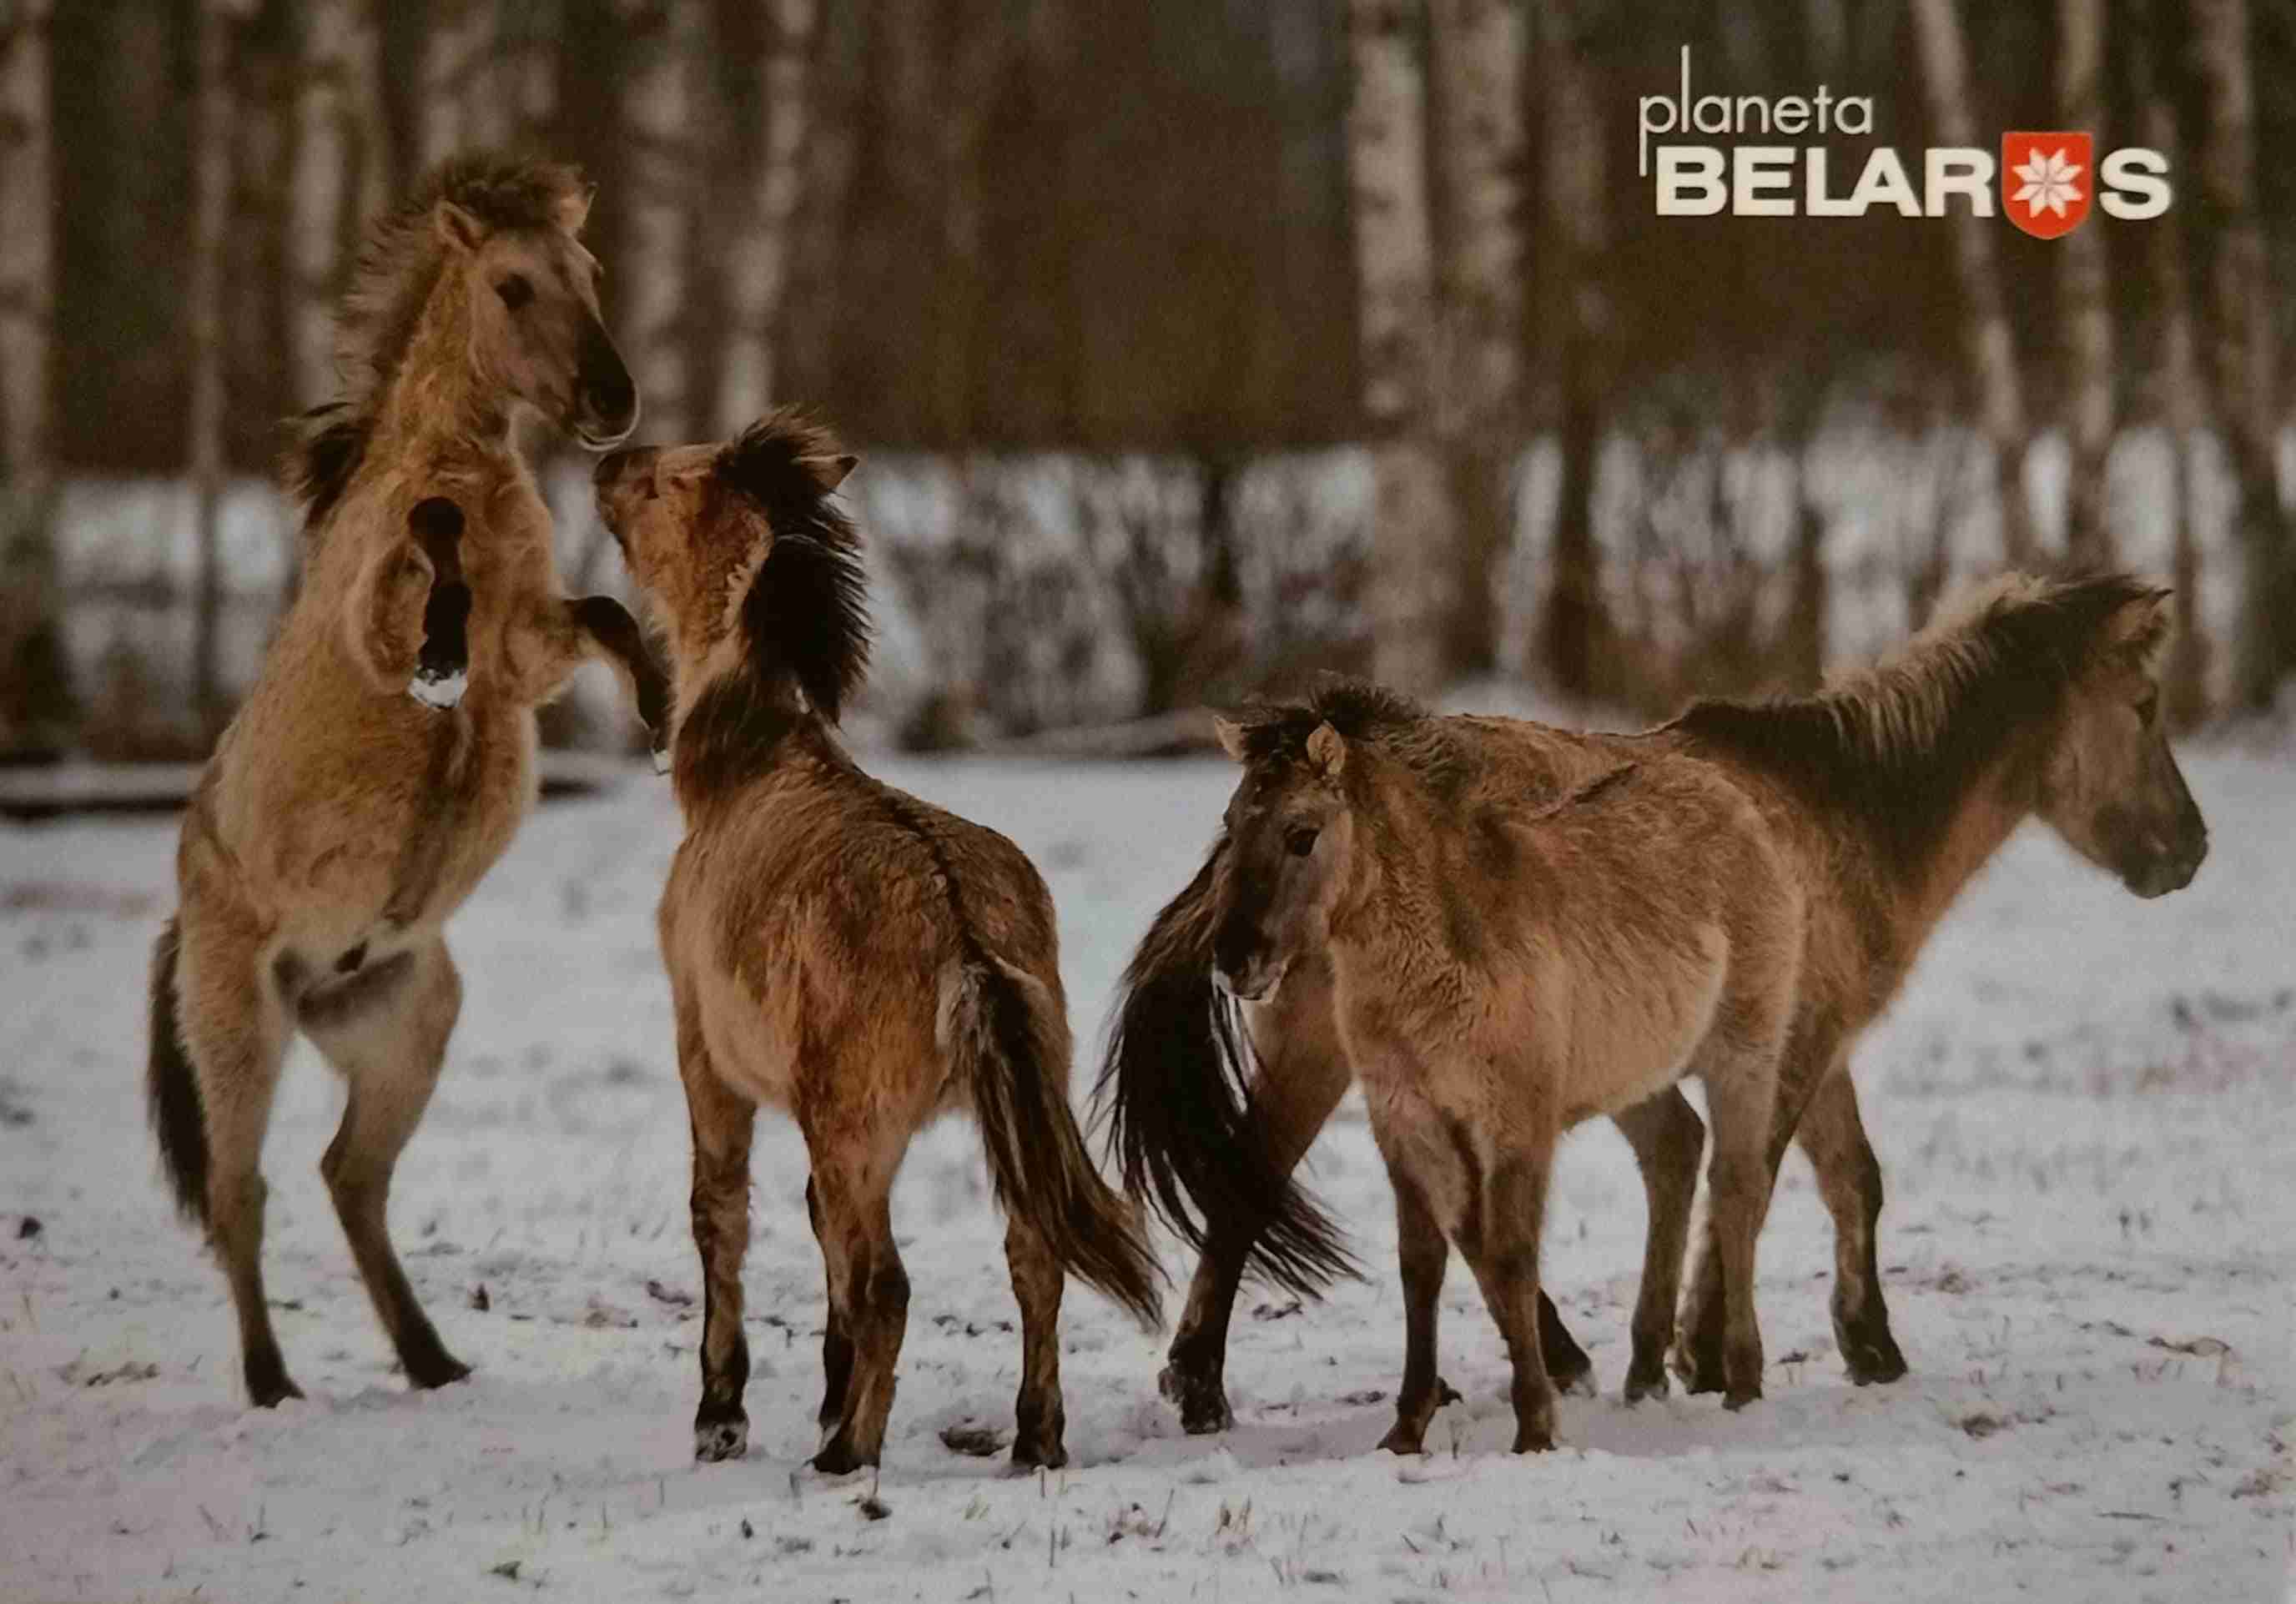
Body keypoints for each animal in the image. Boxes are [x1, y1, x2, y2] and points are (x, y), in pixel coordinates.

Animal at [149, 153, 670, 1404]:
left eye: (590, 269)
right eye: (513, 285)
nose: (612, 401)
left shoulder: (528, 654)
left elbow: (601, 614)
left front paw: (661, 711)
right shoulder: (380, 625)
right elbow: (425, 559)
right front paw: (439, 645)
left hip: (405, 1025)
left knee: (350, 1176)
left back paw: (432, 1358)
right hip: (241, 1029)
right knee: (241, 1195)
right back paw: (271, 1382)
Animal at [597, 417, 1166, 1477]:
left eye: (669, 481)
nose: (608, 459)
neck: (747, 763)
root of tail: (963, 937)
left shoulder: (706, 1055)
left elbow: (720, 1215)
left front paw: (724, 1415)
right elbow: (819, 1232)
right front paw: (826, 1396)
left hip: (853, 1118)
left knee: (891, 1282)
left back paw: (849, 1456)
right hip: (988, 1111)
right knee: (1031, 1256)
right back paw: (1034, 1437)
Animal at [1101, 573, 2213, 1431]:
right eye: (2145, 704)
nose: (2191, 849)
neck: (1826, 814)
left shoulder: (1805, 1040)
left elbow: (1842, 1176)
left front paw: (1859, 1343)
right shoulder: (1793, 1041)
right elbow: (1756, 1178)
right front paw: (1711, 1352)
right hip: (1330, 1053)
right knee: (1252, 1178)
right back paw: (1206, 1385)